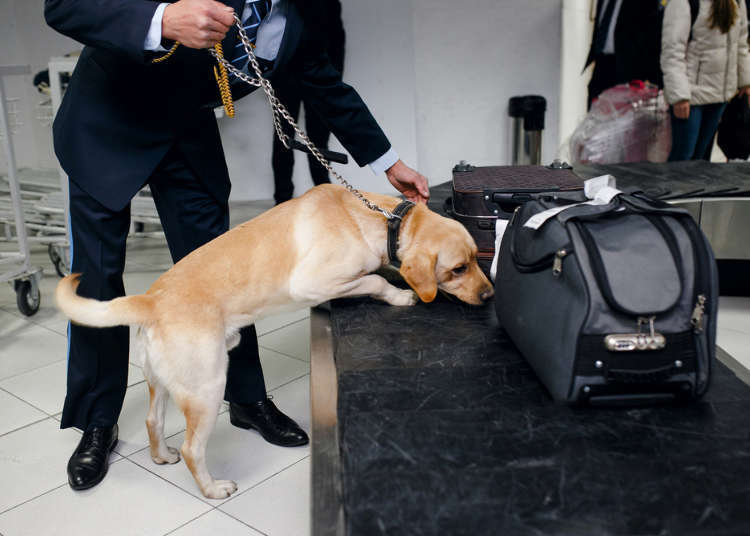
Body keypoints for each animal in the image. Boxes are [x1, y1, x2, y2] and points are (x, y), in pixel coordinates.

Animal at [57, 183, 494, 498]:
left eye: (478, 258)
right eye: (458, 268)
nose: (490, 295)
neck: (377, 218)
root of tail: (149, 299)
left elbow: (383, 272)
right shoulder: (312, 283)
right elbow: (373, 280)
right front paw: (401, 295)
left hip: (163, 380)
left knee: (153, 420)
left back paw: (161, 455)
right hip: (207, 386)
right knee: (193, 448)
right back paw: (213, 488)